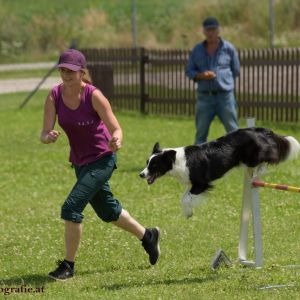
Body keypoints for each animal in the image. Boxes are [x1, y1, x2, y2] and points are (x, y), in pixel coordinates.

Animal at [139, 127, 298, 218]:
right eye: (147, 163)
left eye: (154, 165)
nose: (141, 174)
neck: (178, 161)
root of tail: (262, 130)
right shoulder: (191, 183)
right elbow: (184, 197)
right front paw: (187, 212)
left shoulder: (201, 183)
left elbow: (186, 199)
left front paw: (188, 212)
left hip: (253, 156)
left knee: (270, 156)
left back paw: (260, 170)